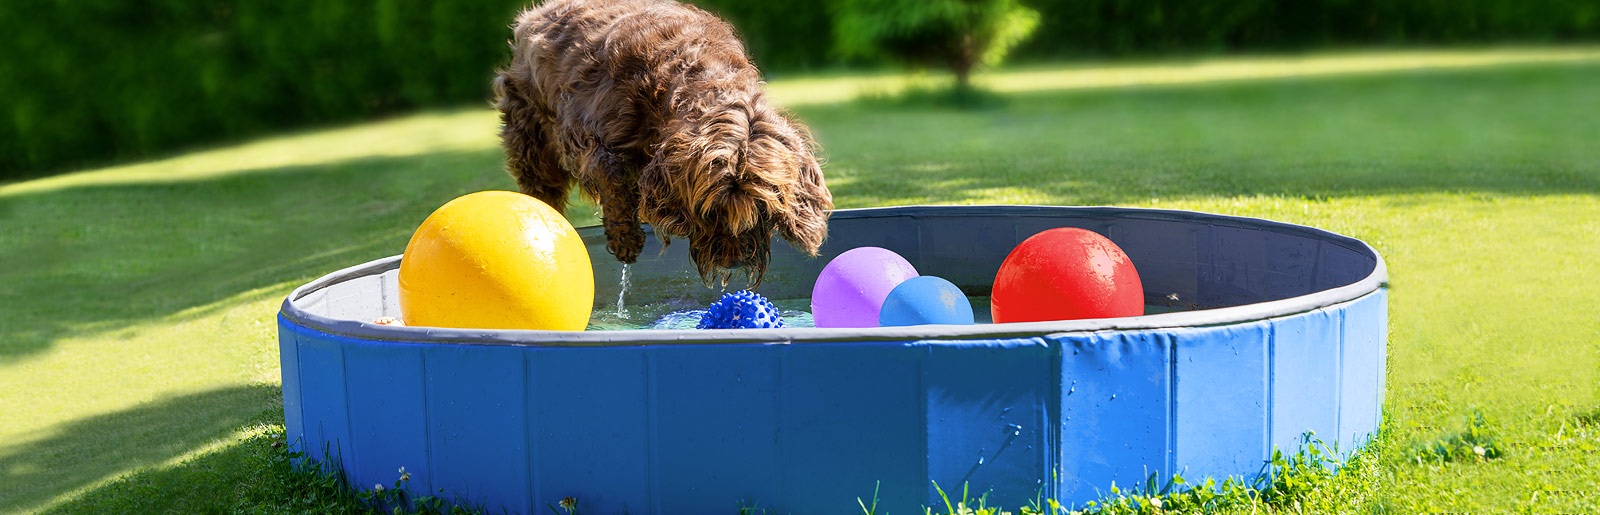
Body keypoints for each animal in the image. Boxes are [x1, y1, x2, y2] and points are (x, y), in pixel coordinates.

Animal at [492, 0, 832, 286]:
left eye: (762, 210)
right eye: (711, 212)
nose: (733, 262)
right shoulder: (585, 132)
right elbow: (610, 175)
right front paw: (625, 238)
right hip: (530, 134)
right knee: (541, 186)